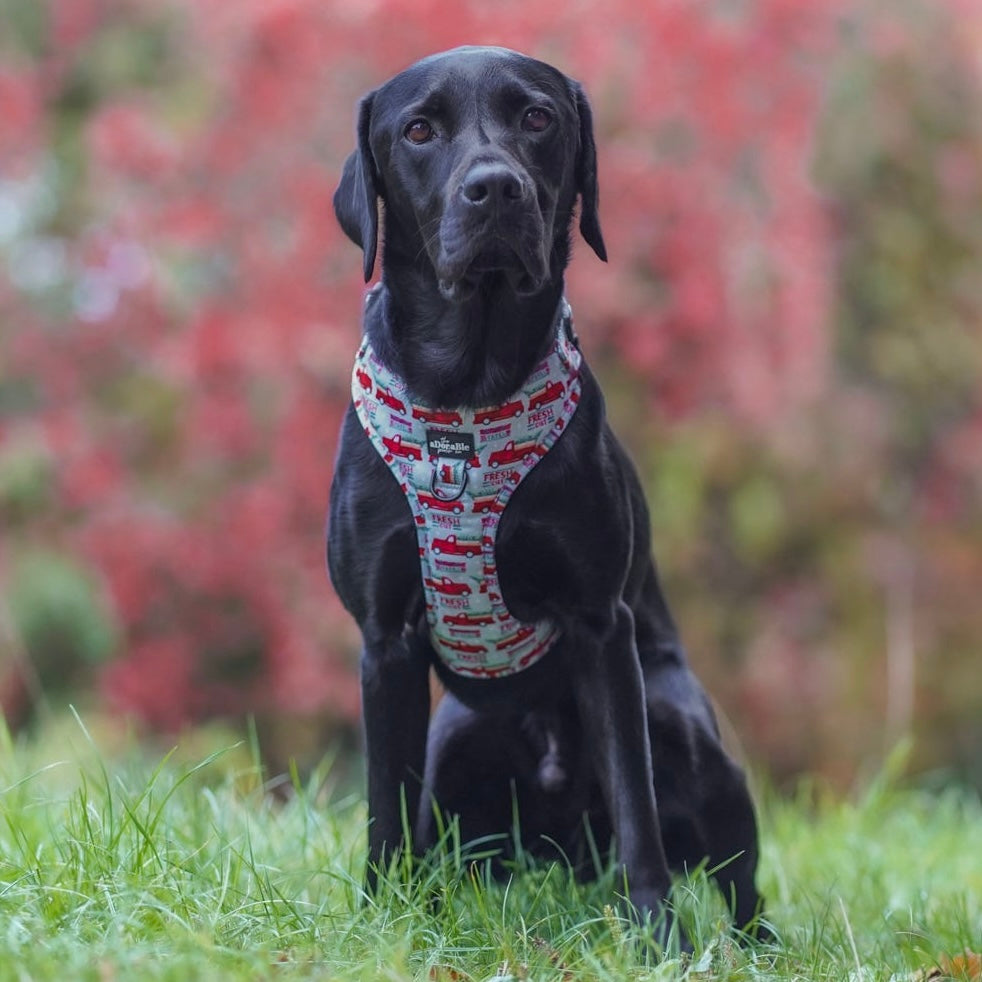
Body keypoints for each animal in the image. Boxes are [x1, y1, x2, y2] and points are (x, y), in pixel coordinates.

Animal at [330, 46, 768, 944]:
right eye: (417, 130)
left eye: (537, 118)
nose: (495, 188)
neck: (469, 388)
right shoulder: (384, 639)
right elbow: (386, 805)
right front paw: (384, 919)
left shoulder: (602, 626)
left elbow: (637, 804)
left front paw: (656, 935)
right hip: (460, 736)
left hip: (681, 722)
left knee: (741, 882)